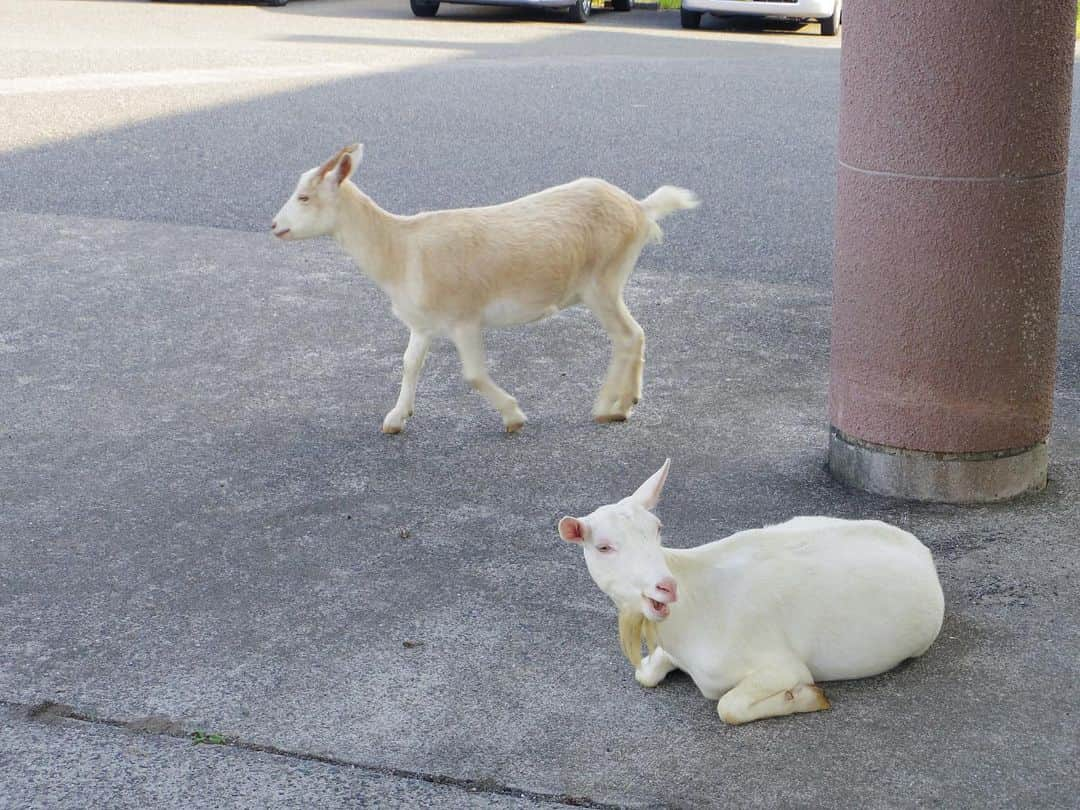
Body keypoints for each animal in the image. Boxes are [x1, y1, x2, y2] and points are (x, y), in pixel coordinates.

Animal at [265, 146, 695, 438]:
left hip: (602, 282)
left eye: (304, 197)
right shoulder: (423, 324)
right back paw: (628, 403)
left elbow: (472, 374)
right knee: (636, 335)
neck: (400, 248)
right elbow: (409, 364)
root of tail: (639, 208)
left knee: (626, 336)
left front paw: (514, 416)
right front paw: (395, 418)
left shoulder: (464, 320)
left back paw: (608, 406)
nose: (274, 226)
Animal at [557, 462, 946, 730]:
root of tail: (922, 550)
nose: (665, 586)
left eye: (657, 529)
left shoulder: (781, 664)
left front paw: (805, 696)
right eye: (604, 546)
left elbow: (727, 707)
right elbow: (646, 674)